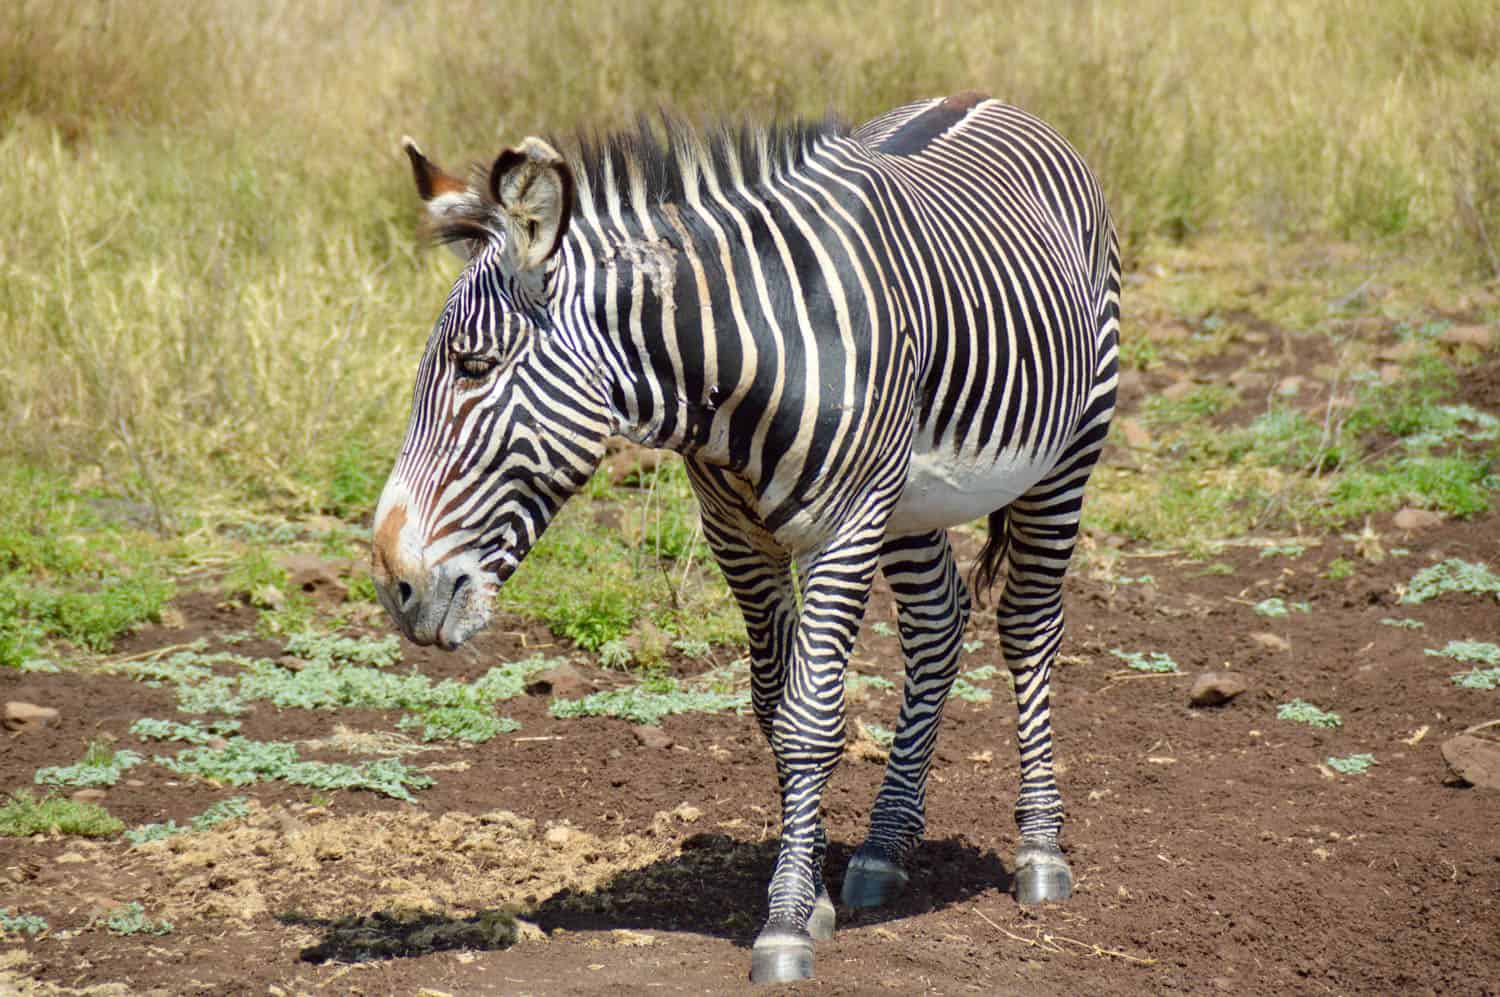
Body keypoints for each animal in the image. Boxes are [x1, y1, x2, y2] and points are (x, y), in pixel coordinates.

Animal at [370, 93, 1119, 984]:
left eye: (474, 366)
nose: (394, 582)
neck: (736, 367)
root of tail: (991, 99)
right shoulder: (737, 534)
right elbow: (772, 706)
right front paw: (817, 889)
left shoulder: (845, 525)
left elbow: (811, 716)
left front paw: (787, 922)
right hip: (912, 497)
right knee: (938, 629)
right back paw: (884, 846)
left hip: (1070, 447)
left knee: (1030, 626)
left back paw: (1039, 849)